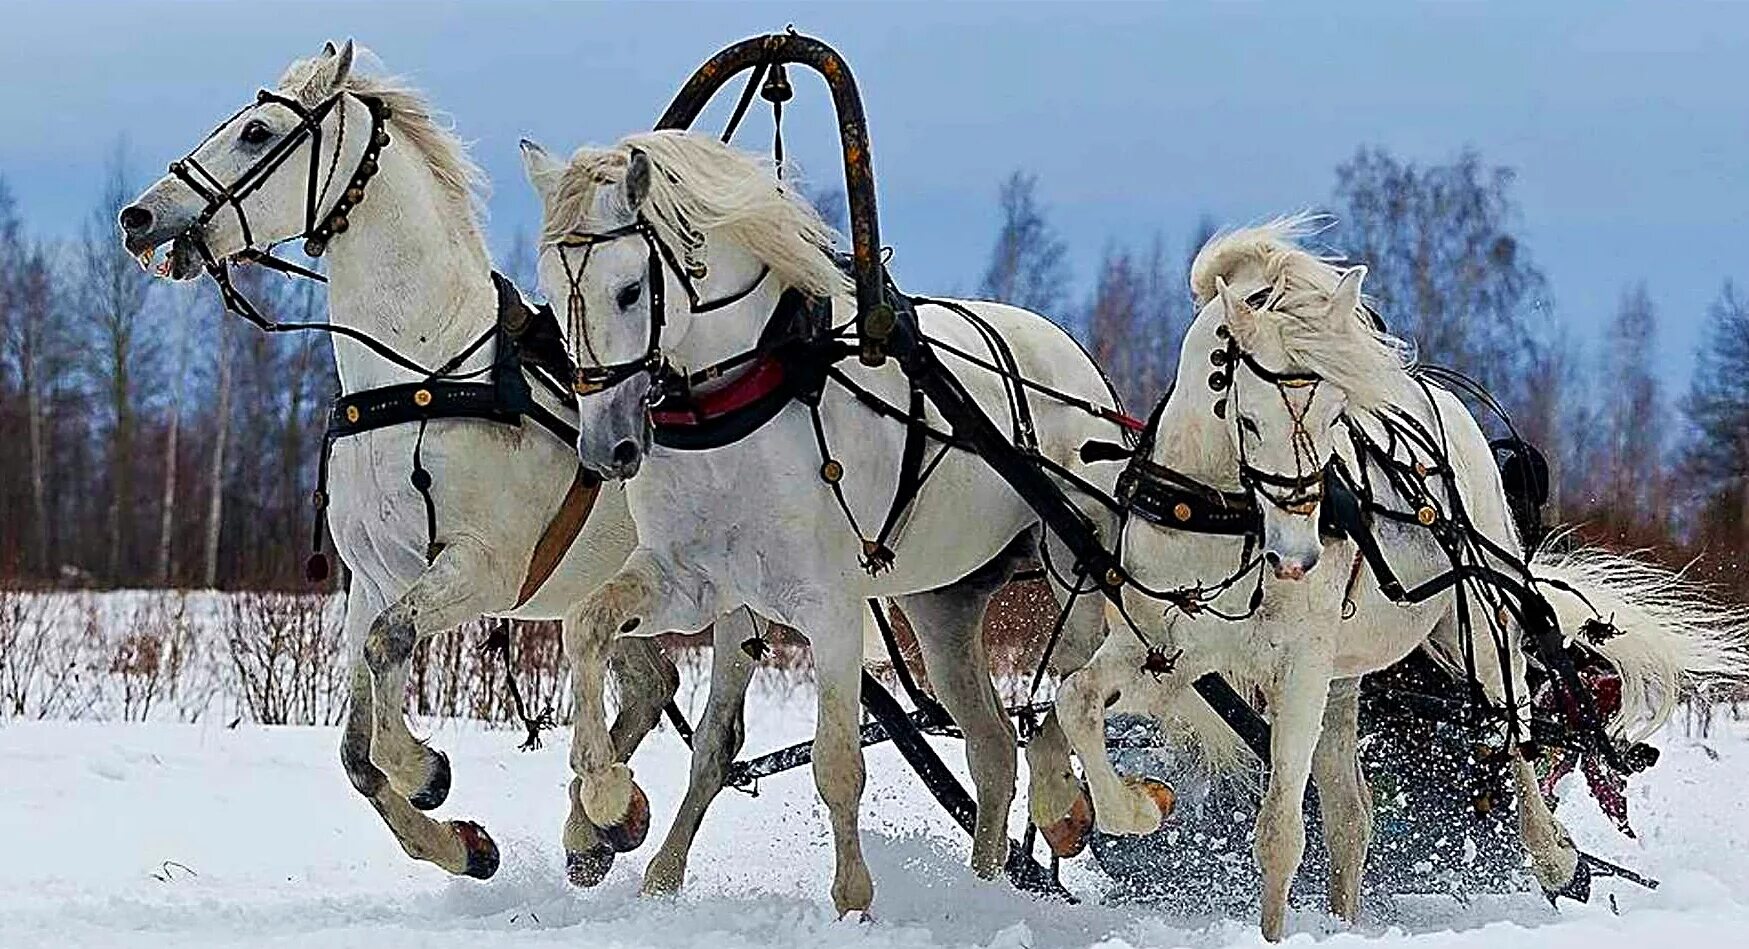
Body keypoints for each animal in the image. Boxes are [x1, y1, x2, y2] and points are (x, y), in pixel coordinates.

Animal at [118, 40, 752, 887]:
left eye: (256, 133)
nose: (139, 217)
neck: (421, 375)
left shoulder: (481, 569)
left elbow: (389, 652)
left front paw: (423, 770)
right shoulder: (374, 577)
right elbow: (356, 751)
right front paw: (461, 841)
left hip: (737, 601)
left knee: (716, 743)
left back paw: (642, 847)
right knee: (653, 687)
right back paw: (596, 828)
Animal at [517, 133, 1245, 915]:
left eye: (629, 290)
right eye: (552, 295)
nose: (607, 446)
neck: (740, 406)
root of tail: (1075, 359)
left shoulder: (829, 606)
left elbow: (837, 763)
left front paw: (852, 901)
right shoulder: (695, 583)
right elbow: (595, 631)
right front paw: (614, 810)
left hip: (1073, 573)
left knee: (1074, 687)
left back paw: (1066, 802)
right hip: (943, 605)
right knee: (992, 745)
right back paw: (983, 888)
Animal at [1049, 221, 1749, 943]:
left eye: (1335, 415)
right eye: (1247, 419)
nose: (1298, 557)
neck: (1218, 514)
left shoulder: (1297, 667)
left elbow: (1279, 831)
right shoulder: (1163, 650)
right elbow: (1076, 700)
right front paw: (1134, 806)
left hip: (1482, 626)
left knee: (1517, 738)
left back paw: (1556, 856)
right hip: (1341, 678)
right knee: (1351, 815)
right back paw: (1345, 916)